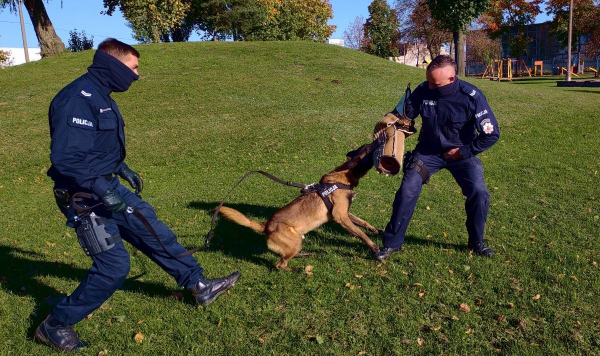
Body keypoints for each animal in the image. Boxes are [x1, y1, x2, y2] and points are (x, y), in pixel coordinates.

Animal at [218, 145, 382, 270]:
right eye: (368, 147)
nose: (378, 141)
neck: (342, 177)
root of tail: (266, 226)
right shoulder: (340, 216)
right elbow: (361, 234)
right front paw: (374, 247)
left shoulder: (346, 213)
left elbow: (363, 223)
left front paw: (376, 230)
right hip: (295, 242)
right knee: (280, 264)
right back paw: (298, 270)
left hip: (297, 242)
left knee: (287, 256)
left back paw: (305, 255)